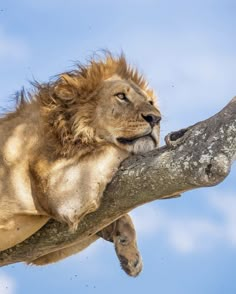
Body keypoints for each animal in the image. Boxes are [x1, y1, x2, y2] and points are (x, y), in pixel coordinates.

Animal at [0, 52, 160, 276]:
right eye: (121, 96)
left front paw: (129, 252)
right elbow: (112, 148)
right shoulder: (62, 194)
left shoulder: (42, 250)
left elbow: (116, 216)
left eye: (151, 101)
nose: (156, 118)